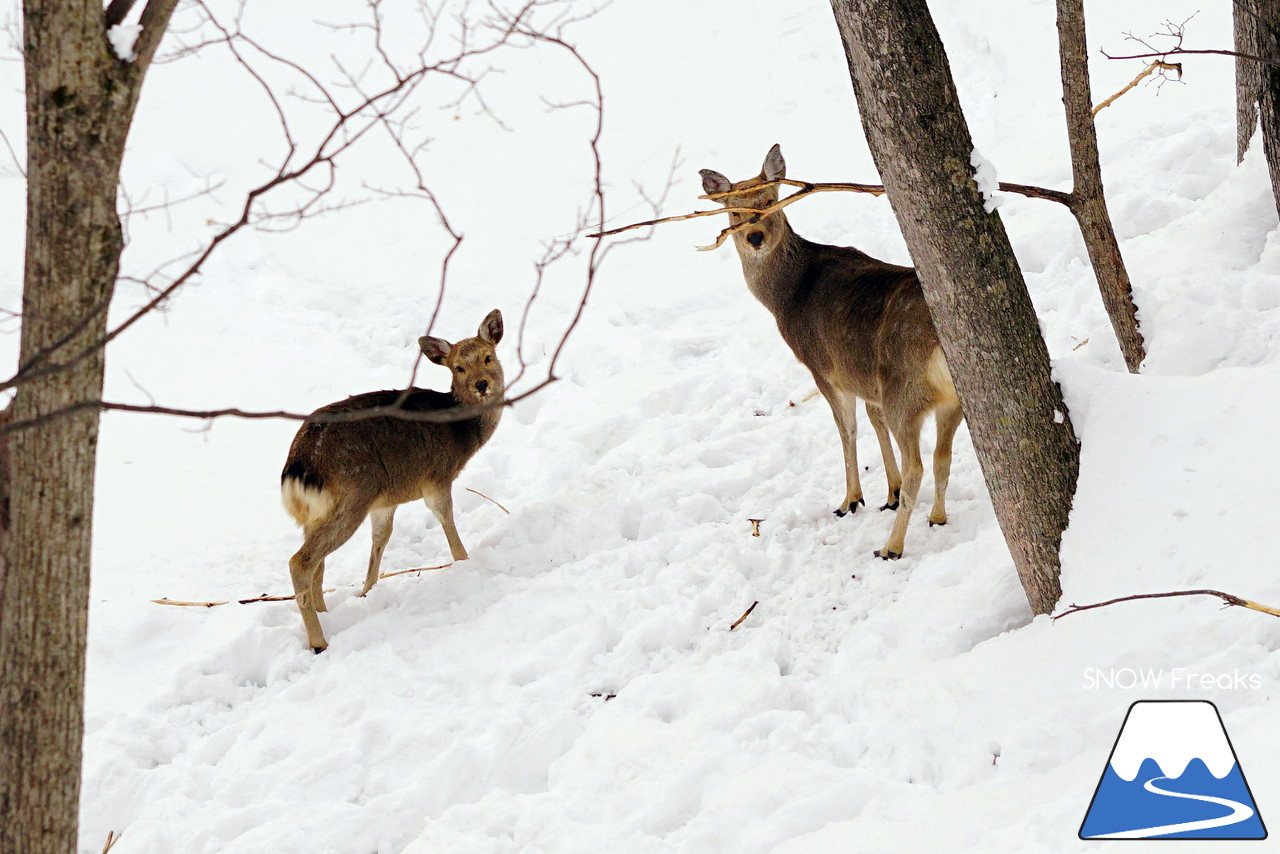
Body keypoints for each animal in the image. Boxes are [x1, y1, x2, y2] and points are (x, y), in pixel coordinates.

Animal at [280, 311, 504, 650]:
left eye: (488, 357)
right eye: (458, 367)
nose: (481, 384)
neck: (463, 433)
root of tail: (298, 467)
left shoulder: (386, 501)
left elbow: (381, 538)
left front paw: (366, 592)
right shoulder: (437, 477)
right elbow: (446, 518)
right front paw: (465, 562)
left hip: (320, 511)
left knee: (318, 561)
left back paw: (325, 613)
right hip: (355, 494)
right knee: (301, 561)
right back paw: (319, 642)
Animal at [701, 145, 962, 560]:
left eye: (770, 201)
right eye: (734, 211)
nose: (755, 236)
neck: (786, 297)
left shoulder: (824, 368)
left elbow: (847, 429)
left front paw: (850, 500)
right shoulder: (863, 375)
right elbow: (873, 420)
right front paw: (888, 493)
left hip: (904, 390)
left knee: (918, 466)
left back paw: (890, 546)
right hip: (952, 399)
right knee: (942, 458)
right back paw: (936, 517)